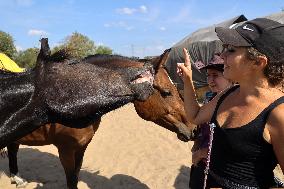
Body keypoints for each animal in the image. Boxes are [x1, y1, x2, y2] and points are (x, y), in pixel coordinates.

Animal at [5, 42, 195, 188]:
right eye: (166, 92)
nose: (193, 128)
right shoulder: (65, 150)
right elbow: (71, 180)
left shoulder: (81, 148)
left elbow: (75, 177)